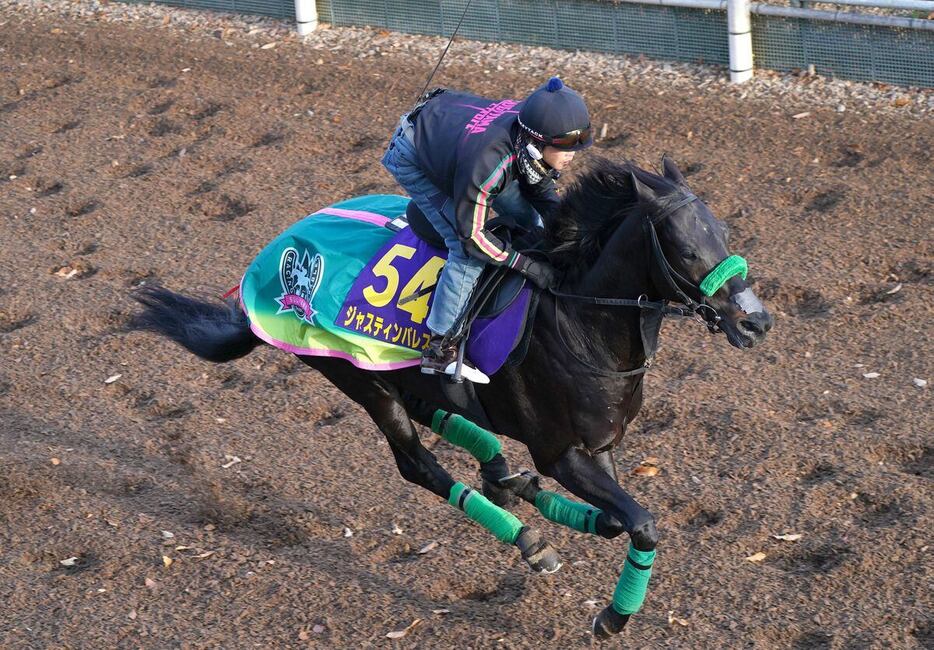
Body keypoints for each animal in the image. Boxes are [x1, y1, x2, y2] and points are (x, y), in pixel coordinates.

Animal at [132, 154, 776, 636]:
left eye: (724, 233)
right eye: (686, 248)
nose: (757, 321)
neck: (578, 318)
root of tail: (271, 262)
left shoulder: (600, 446)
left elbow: (619, 521)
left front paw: (542, 499)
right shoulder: (561, 452)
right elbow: (639, 524)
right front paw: (611, 618)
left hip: (400, 369)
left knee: (440, 412)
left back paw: (503, 477)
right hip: (356, 374)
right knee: (417, 463)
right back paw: (526, 535)